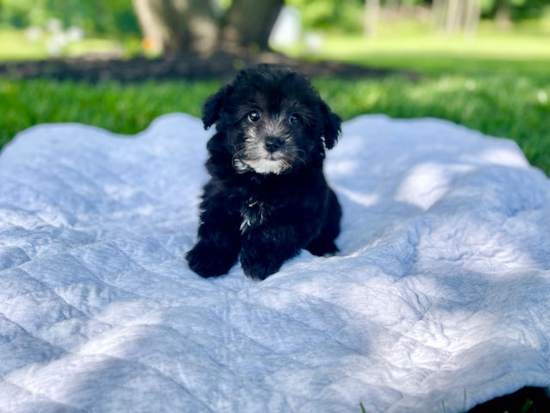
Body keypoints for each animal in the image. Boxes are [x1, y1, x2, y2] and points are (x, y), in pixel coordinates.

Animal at [190, 64, 344, 280]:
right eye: (253, 115)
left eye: (294, 119)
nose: (272, 143)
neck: (261, 177)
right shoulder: (219, 195)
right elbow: (217, 225)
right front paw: (208, 257)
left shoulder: (302, 207)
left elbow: (276, 232)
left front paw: (257, 261)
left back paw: (326, 248)